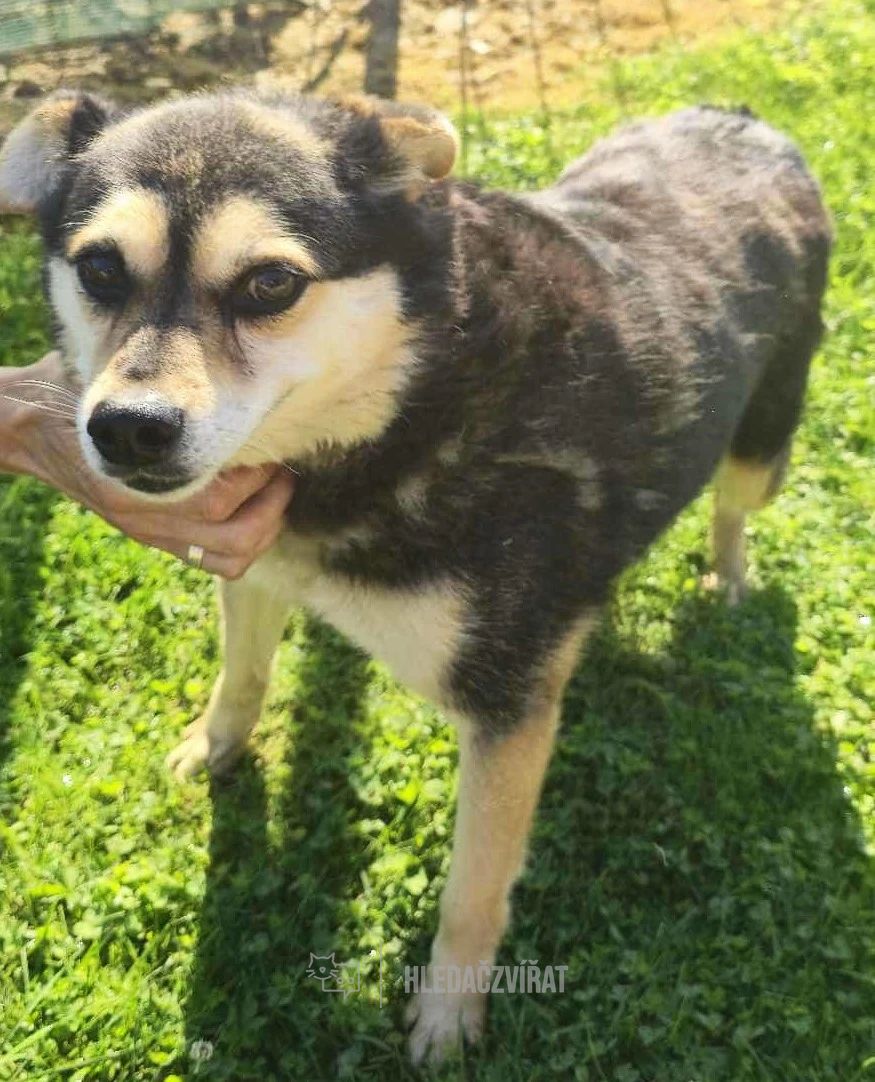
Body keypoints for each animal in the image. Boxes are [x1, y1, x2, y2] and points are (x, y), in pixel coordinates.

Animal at [0, 89, 830, 1062]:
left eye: (270, 283)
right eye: (99, 268)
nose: (127, 428)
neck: (405, 405)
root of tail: (741, 120)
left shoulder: (507, 708)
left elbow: (472, 890)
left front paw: (447, 1014)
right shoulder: (255, 558)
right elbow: (242, 676)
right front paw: (214, 746)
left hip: (760, 445)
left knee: (733, 505)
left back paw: (725, 580)